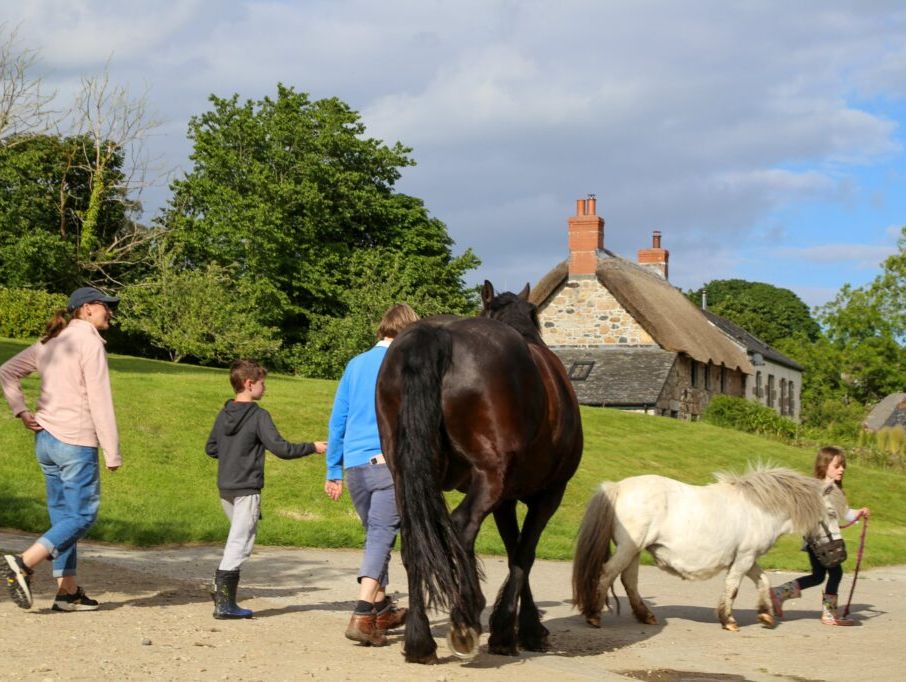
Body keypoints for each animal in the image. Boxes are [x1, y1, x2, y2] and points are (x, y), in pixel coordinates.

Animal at [375, 281, 583, 663]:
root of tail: (436, 334)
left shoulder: (506, 500)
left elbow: (515, 549)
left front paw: (513, 628)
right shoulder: (548, 494)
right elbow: (524, 554)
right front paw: (518, 629)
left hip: (406, 477)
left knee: (416, 543)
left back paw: (420, 641)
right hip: (490, 478)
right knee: (461, 528)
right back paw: (464, 621)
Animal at [572, 466, 848, 631]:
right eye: (831, 513)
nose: (839, 553)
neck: (761, 508)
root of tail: (616, 487)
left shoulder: (748, 559)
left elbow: (763, 581)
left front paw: (766, 614)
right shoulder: (744, 559)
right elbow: (733, 588)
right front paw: (729, 620)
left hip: (635, 551)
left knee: (629, 581)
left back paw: (645, 615)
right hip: (629, 549)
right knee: (607, 574)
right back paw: (594, 615)